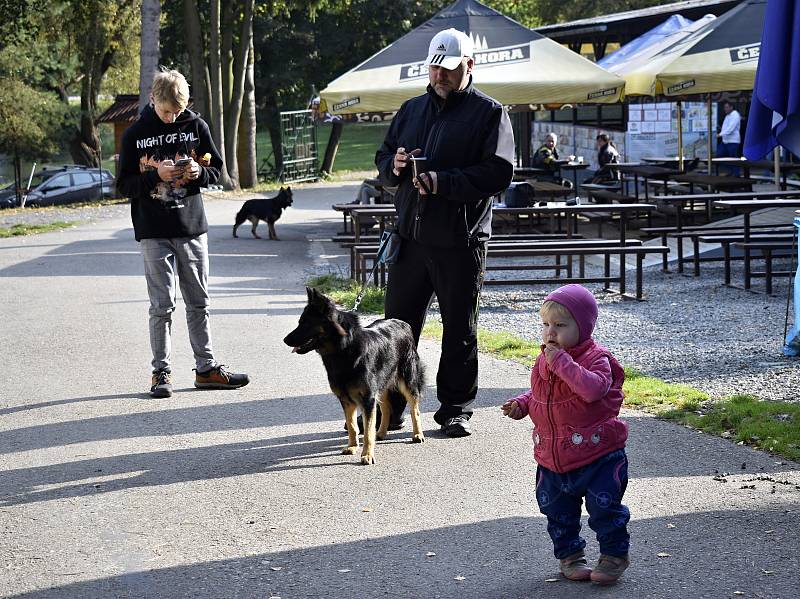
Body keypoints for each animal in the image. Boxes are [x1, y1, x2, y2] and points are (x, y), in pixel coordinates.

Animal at [284, 288, 428, 466]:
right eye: (300, 322)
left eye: (306, 323)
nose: (285, 340)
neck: (343, 350)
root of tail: (403, 324)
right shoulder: (347, 399)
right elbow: (353, 426)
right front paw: (352, 447)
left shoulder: (368, 398)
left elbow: (367, 430)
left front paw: (367, 454)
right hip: (381, 384)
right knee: (386, 407)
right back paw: (381, 433)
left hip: (408, 381)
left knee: (415, 409)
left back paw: (418, 434)